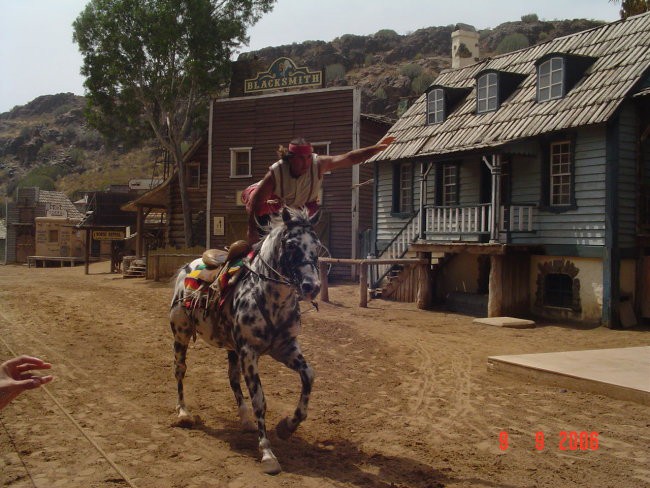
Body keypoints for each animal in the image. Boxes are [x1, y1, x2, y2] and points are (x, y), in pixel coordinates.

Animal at [167, 206, 318, 472]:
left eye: (317, 246)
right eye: (290, 244)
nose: (313, 286)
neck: (268, 297)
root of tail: (188, 265)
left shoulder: (285, 348)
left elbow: (308, 376)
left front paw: (287, 426)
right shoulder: (249, 352)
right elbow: (260, 400)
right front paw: (267, 453)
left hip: (231, 348)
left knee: (233, 379)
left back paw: (246, 420)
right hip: (181, 335)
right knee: (180, 370)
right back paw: (184, 413)